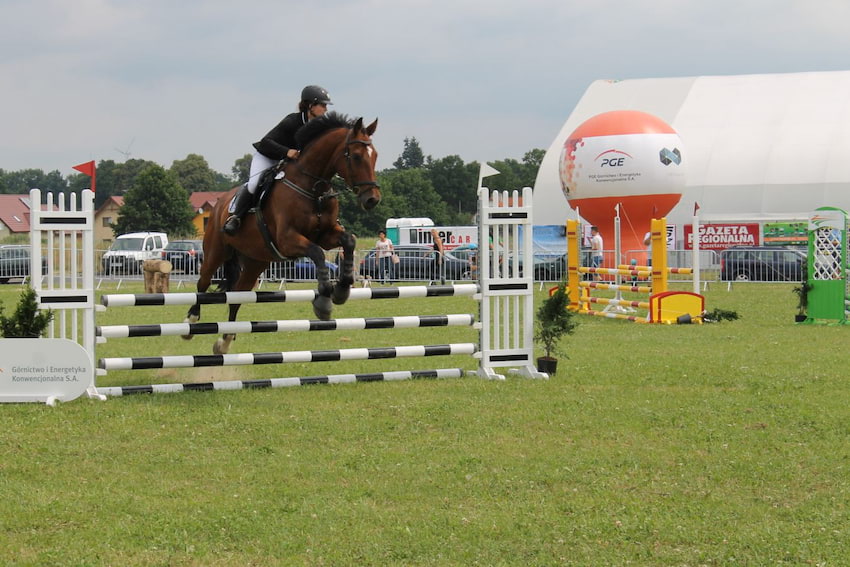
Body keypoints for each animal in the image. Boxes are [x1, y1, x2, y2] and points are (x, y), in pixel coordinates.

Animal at [184, 112, 380, 356]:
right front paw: (324, 301)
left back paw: (225, 341)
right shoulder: (288, 240)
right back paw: (190, 323)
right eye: (355, 156)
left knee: (237, 295)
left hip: (255, 261)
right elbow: (317, 253)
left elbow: (349, 241)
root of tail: (220, 203)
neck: (313, 188)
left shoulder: (325, 235)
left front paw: (342, 290)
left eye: (375, 156)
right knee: (202, 284)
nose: (372, 199)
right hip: (215, 251)